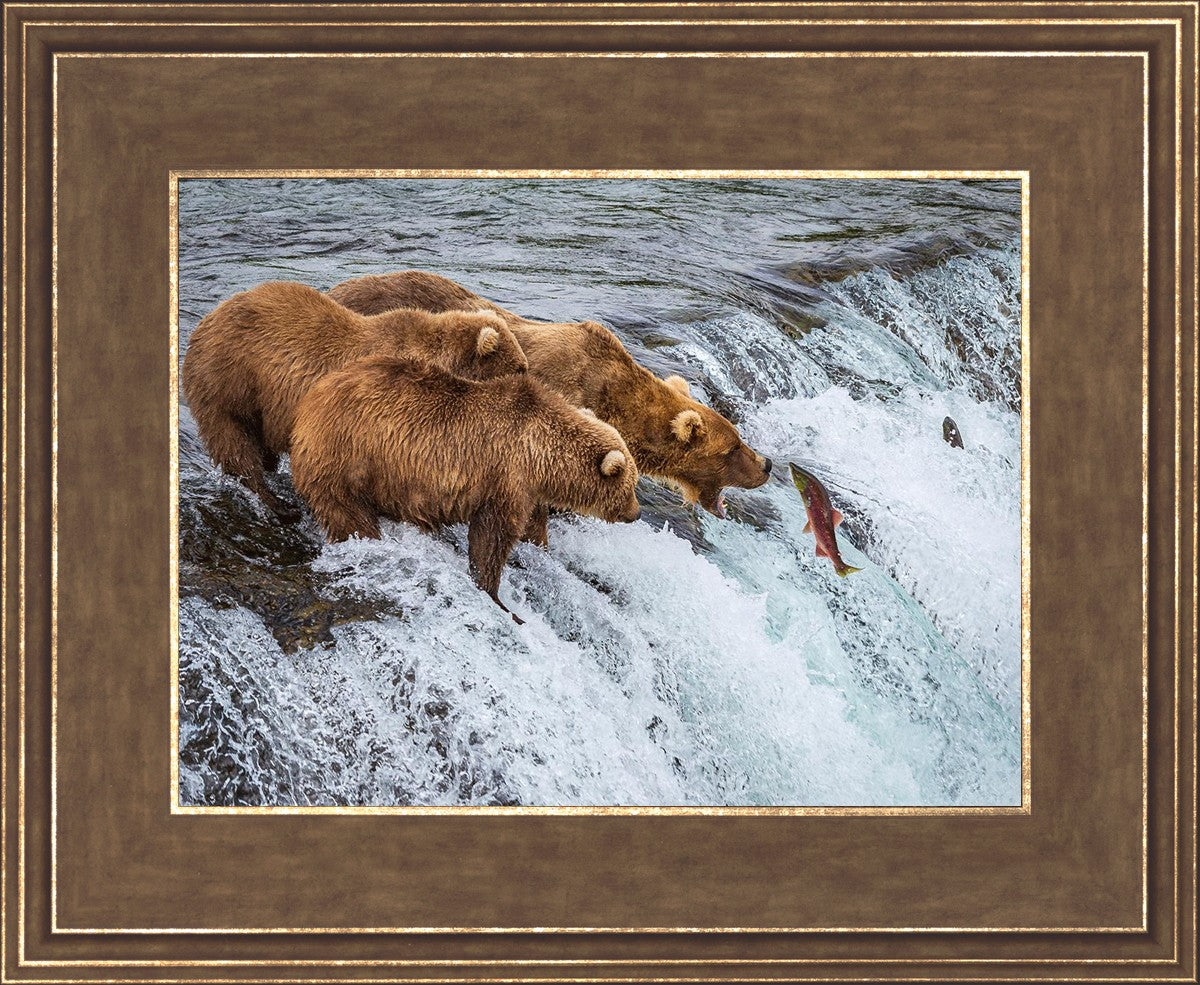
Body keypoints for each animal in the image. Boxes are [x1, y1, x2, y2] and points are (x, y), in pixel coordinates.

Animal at [181, 280, 528, 517]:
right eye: (520, 368)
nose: (530, 383)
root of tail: (205, 322)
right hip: (229, 381)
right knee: (234, 443)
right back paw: (276, 502)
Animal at [289, 355, 642, 622]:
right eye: (631, 486)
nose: (636, 513)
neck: (541, 454)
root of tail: (309, 402)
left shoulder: (527, 489)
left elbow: (532, 527)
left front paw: (539, 548)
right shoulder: (505, 477)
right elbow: (492, 537)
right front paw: (497, 597)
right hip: (347, 458)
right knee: (348, 514)